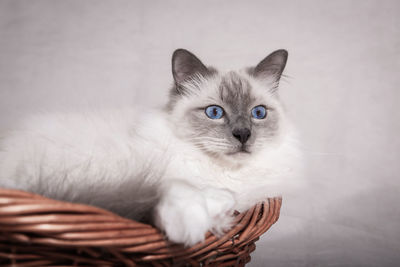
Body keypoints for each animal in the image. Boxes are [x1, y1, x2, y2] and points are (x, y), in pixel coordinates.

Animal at [0, 48, 300, 247]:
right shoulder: (139, 179)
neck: (220, 173)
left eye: (258, 113)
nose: (243, 135)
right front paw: (188, 228)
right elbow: (175, 189)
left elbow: (227, 199)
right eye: (214, 112)